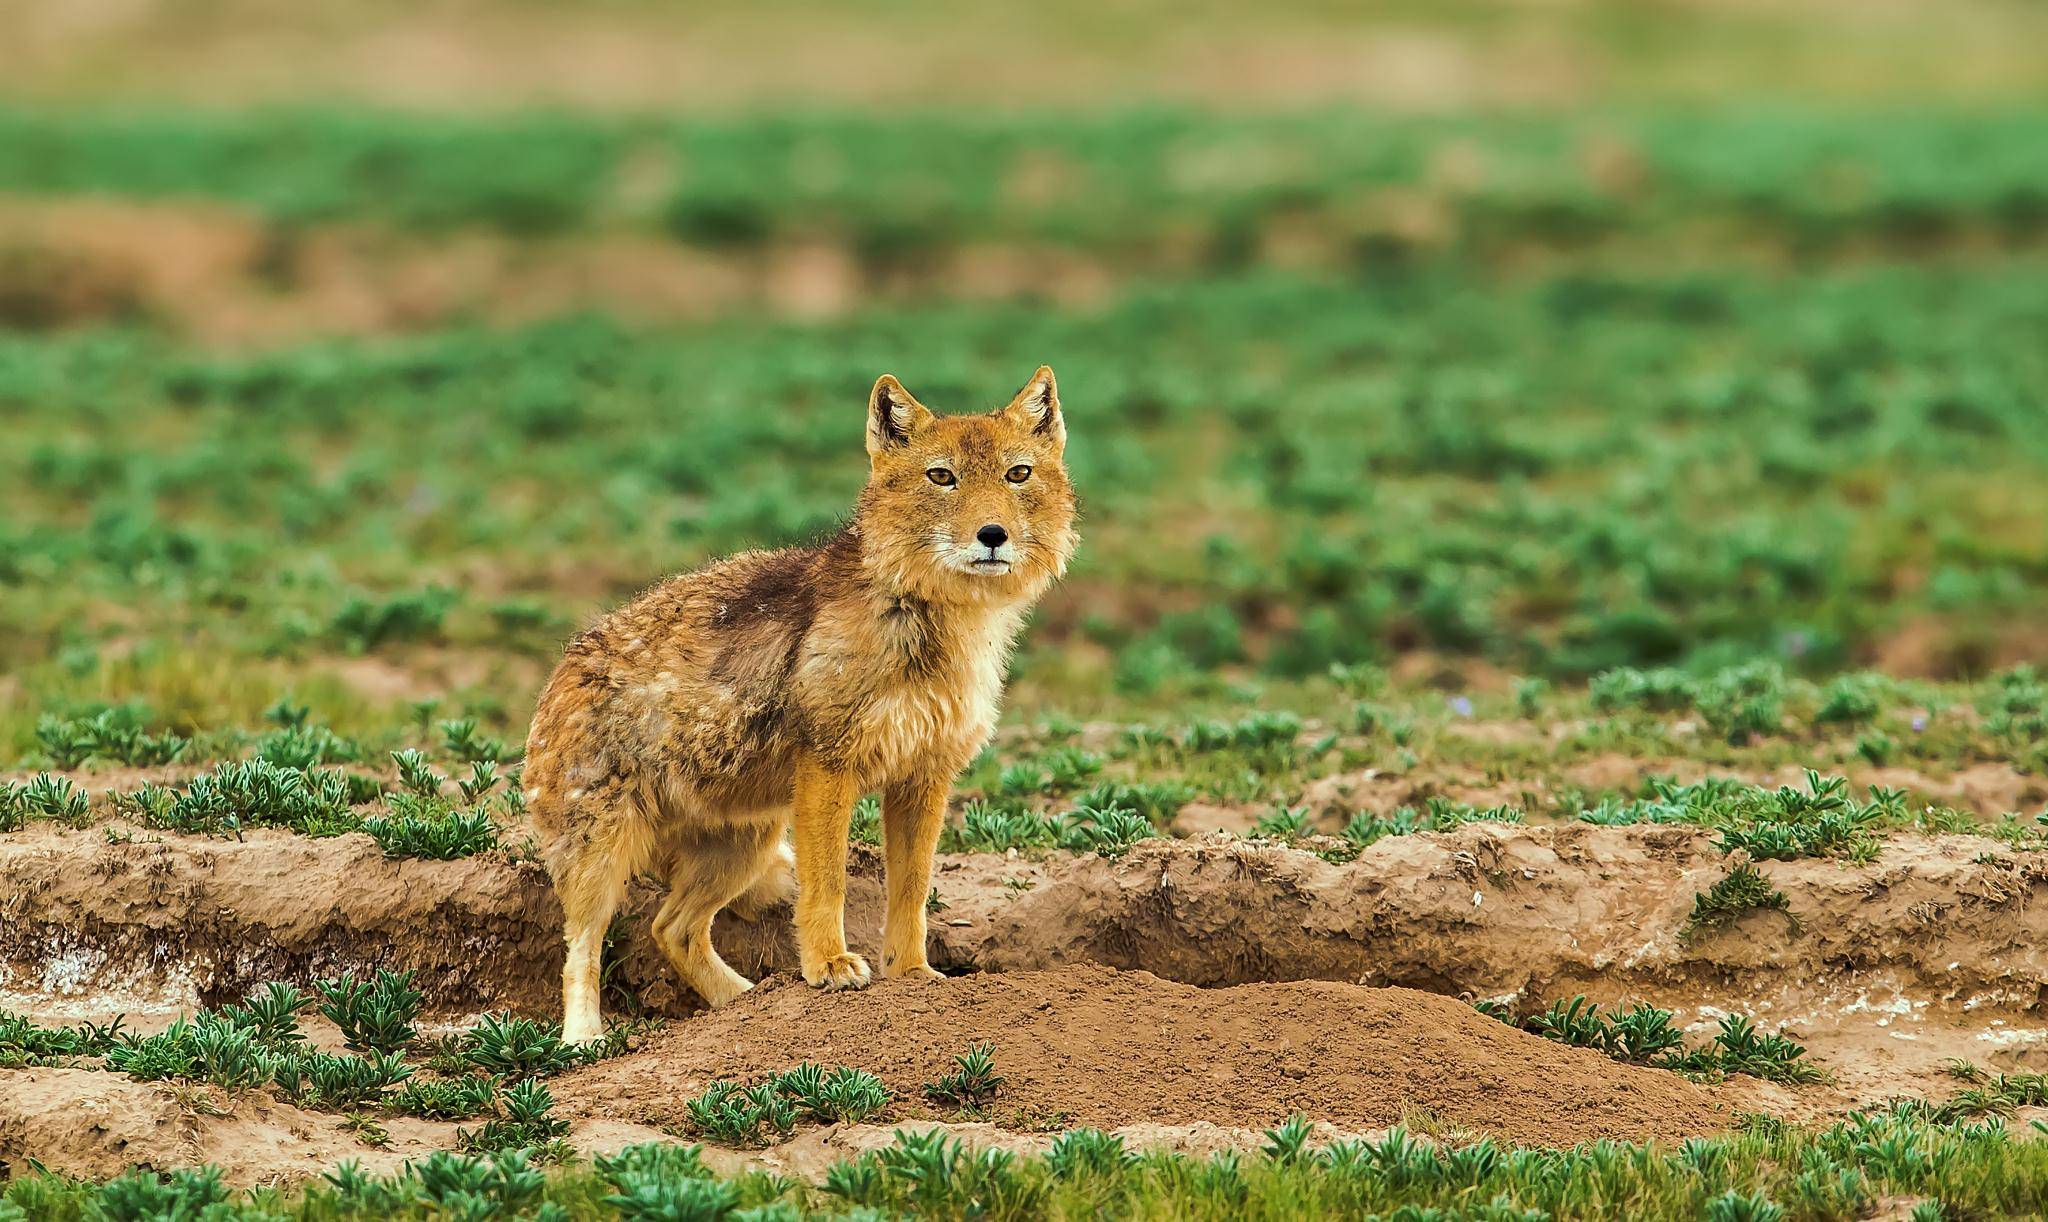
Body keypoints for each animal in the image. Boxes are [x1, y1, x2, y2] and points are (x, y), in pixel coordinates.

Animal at [520, 362, 1081, 1039]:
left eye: (1017, 474)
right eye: (941, 476)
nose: (991, 535)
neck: (930, 622)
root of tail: (560, 669)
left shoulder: (924, 775)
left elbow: (911, 890)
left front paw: (913, 974)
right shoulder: (828, 768)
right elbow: (828, 884)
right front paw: (828, 967)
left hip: (744, 848)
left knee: (670, 929)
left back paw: (743, 1001)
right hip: (603, 861)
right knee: (581, 951)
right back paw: (585, 1039)